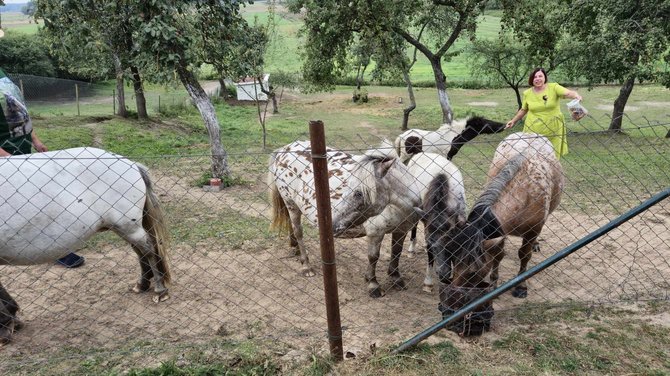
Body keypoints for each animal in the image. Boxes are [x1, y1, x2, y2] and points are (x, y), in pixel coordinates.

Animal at [0, 146, 172, 344]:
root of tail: (130, 164)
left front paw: (6, 325)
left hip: (128, 226)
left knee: (148, 250)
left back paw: (159, 290)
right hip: (123, 227)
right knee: (140, 251)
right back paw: (142, 283)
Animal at [270, 140, 422, 298]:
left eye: (358, 193)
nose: (334, 225)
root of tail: (284, 150)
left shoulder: (402, 230)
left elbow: (396, 252)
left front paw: (396, 278)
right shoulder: (375, 233)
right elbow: (373, 257)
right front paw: (373, 284)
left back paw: (295, 249)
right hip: (291, 205)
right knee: (298, 232)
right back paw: (306, 266)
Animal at [440, 134, 568, 298]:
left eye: (473, 272)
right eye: (452, 259)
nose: (453, 295)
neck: (522, 193)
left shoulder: (532, 231)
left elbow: (524, 255)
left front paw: (521, 286)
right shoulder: (500, 233)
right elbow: (498, 255)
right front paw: (494, 284)